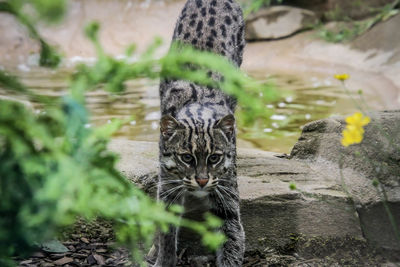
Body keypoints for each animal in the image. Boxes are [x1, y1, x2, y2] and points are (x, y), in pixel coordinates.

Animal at [155, 0, 244, 266]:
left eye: (214, 158)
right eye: (186, 157)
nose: (202, 181)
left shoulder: (226, 189)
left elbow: (231, 234)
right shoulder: (167, 183)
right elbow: (166, 230)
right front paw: (164, 259)